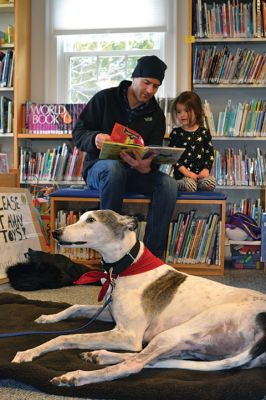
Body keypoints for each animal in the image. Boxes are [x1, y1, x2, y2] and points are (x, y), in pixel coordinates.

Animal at [11, 211, 266, 386]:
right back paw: (99, 355)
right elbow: (74, 307)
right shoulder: (110, 313)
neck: (126, 267)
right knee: (149, 359)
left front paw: (28, 351)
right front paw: (48, 318)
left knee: (135, 363)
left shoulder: (127, 335)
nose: (56, 232)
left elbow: (65, 337)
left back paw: (76, 376)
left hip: (177, 333)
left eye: (91, 220)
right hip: (194, 347)